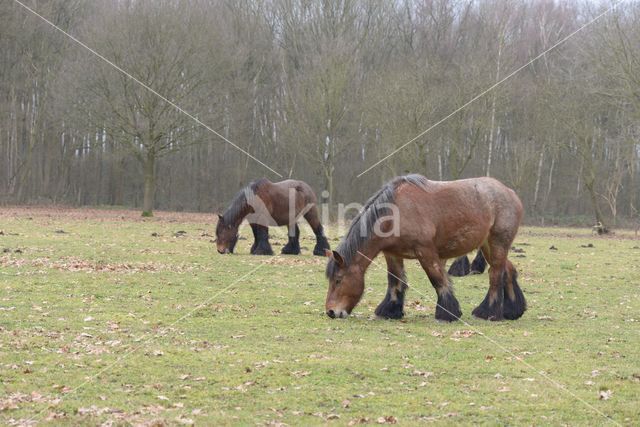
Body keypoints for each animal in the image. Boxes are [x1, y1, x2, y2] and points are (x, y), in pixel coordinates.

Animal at [324, 174, 524, 320]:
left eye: (338, 280)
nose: (331, 312)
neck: (396, 213)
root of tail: (510, 193)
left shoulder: (425, 252)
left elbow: (437, 279)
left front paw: (447, 313)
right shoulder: (393, 254)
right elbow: (395, 281)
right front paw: (390, 311)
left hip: (497, 243)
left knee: (495, 274)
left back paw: (487, 312)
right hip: (488, 246)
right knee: (507, 270)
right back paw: (512, 310)